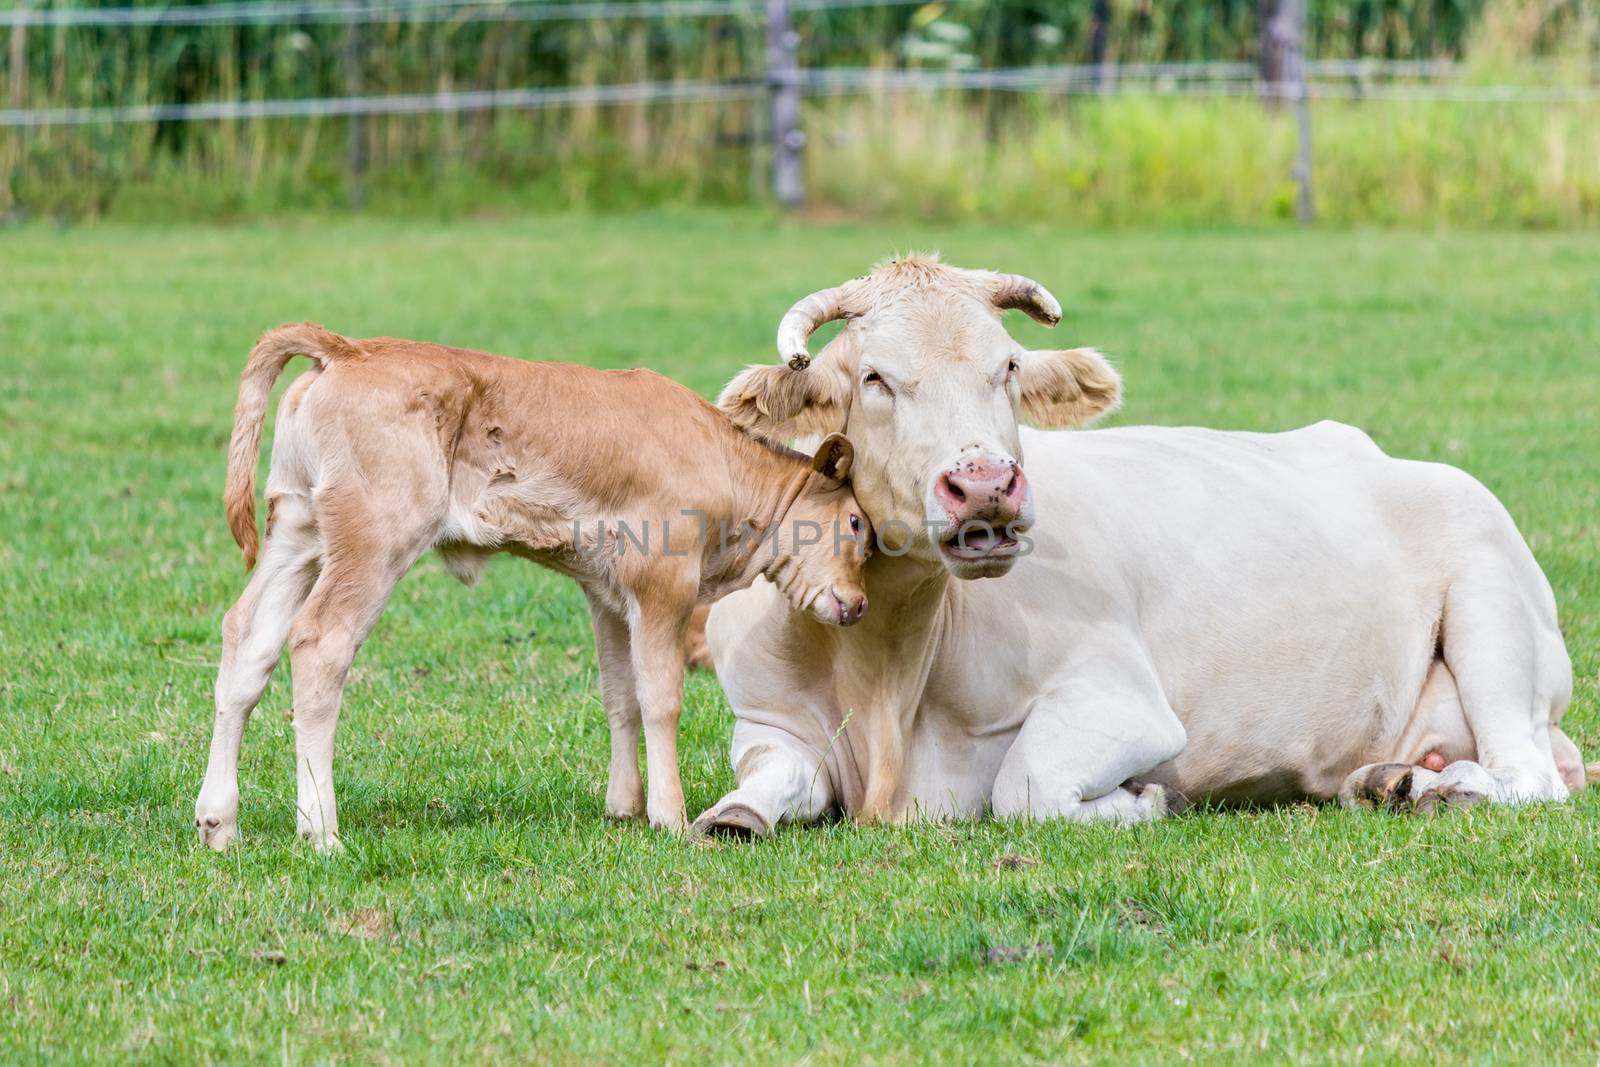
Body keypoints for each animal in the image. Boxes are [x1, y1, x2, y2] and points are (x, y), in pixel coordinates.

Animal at [193, 321, 870, 844]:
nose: (859, 603)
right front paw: (670, 817)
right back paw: (321, 830)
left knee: (247, 640)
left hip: (297, 531)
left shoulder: (608, 595)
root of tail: (351, 348)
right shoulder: (663, 586)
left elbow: (620, 696)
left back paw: (219, 822)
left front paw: (623, 807)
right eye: (858, 523)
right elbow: (660, 698)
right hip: (375, 541)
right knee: (319, 643)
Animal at [691, 255, 1587, 831]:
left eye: (1007, 366)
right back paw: (1389, 778)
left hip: (1492, 610)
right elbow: (773, 779)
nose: (984, 483)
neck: (886, 676)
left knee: (1530, 773)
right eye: (873, 376)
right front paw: (734, 814)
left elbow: (1028, 786)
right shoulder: (763, 715)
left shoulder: (1120, 696)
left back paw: (1447, 789)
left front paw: (1144, 801)